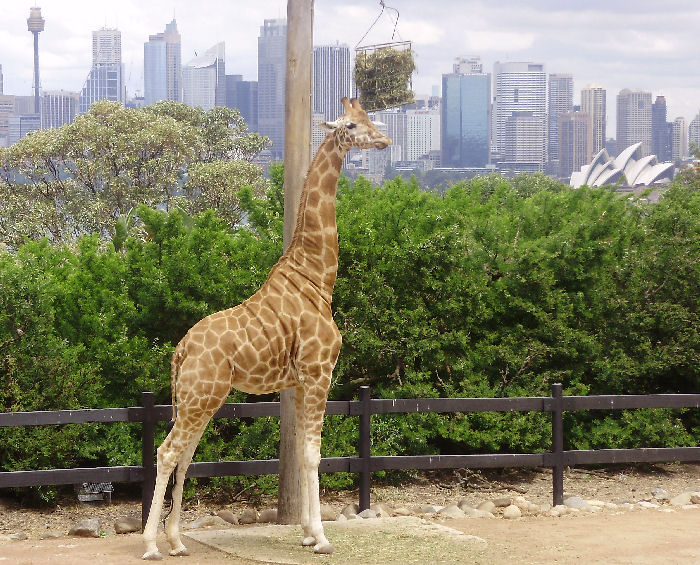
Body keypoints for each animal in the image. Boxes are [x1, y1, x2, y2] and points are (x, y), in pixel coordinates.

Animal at [142, 97, 392, 560]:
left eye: (370, 118)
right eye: (352, 125)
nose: (383, 140)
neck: (318, 278)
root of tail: (180, 350)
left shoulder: (298, 381)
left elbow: (301, 453)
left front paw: (308, 533)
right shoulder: (319, 372)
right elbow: (312, 455)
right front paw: (322, 538)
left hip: (200, 398)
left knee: (184, 454)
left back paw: (177, 541)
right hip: (201, 396)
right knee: (168, 452)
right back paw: (151, 545)